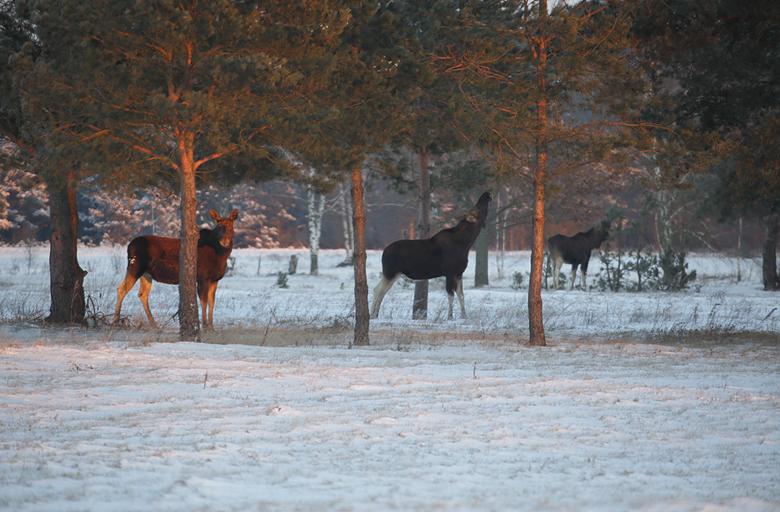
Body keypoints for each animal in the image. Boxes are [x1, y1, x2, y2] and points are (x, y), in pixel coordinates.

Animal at [370, 192, 490, 320]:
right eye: (476, 210)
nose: (486, 194)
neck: (466, 244)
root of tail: (384, 252)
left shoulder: (459, 273)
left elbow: (461, 295)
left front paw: (464, 316)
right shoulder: (450, 272)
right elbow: (451, 295)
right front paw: (450, 317)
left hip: (395, 274)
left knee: (381, 291)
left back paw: (376, 315)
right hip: (390, 272)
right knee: (377, 290)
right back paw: (372, 315)